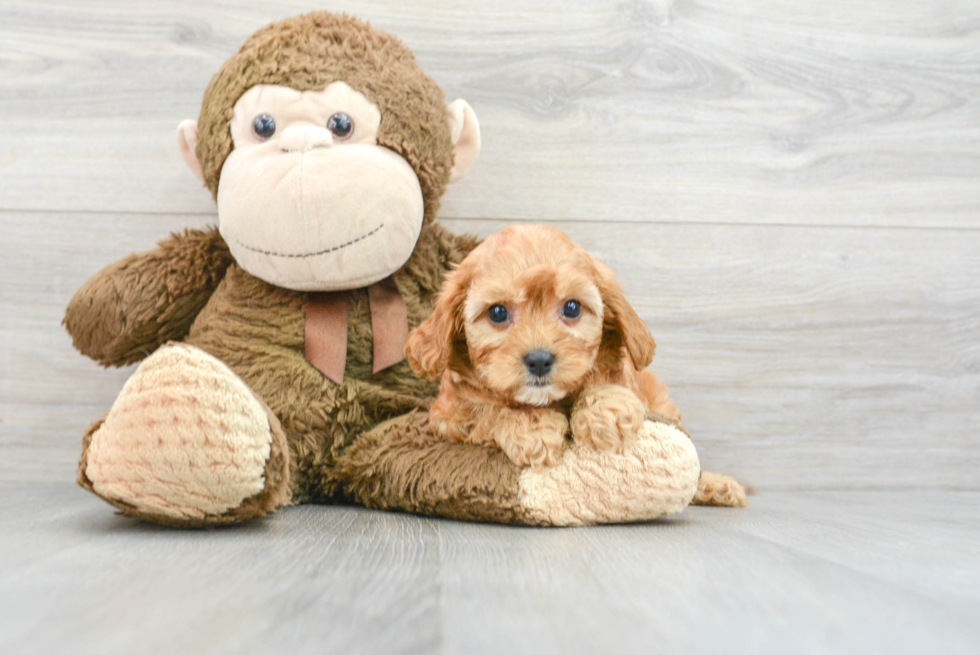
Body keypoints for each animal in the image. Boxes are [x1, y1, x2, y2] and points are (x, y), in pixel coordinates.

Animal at [404, 226, 680, 472]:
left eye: (572, 308)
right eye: (497, 312)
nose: (539, 360)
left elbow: (611, 382)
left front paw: (606, 413)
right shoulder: (447, 415)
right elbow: (485, 410)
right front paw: (533, 430)